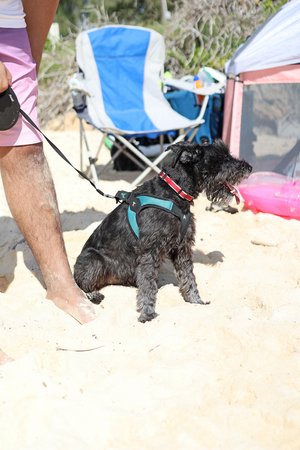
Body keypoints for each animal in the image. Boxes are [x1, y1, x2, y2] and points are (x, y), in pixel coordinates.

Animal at [74, 139, 252, 322]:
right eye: (222, 158)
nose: (249, 167)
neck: (174, 193)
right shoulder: (150, 250)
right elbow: (147, 283)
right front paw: (147, 313)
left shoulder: (182, 247)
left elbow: (189, 276)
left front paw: (195, 301)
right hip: (93, 259)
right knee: (80, 283)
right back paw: (93, 294)